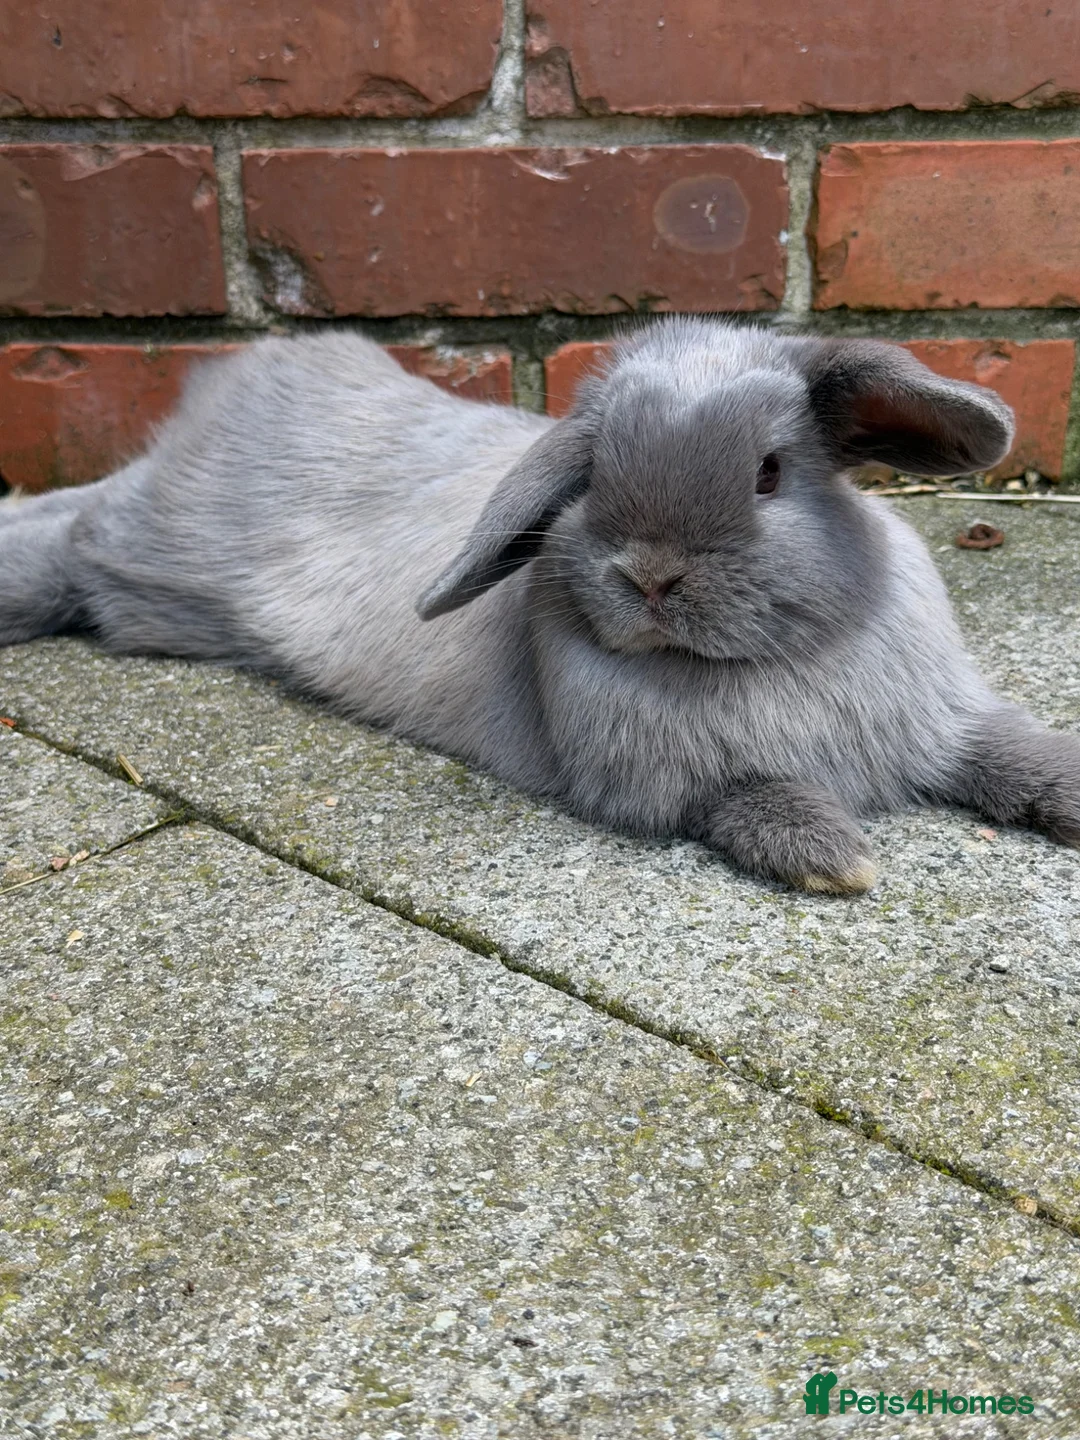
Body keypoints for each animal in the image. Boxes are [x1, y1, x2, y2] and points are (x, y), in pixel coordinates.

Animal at [2, 317, 1078, 894]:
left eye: (771, 472)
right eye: (593, 474)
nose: (650, 577)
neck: (764, 663)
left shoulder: (950, 721)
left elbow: (1012, 750)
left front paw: (1067, 789)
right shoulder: (672, 789)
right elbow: (753, 797)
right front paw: (838, 859)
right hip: (143, 557)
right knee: (75, 533)